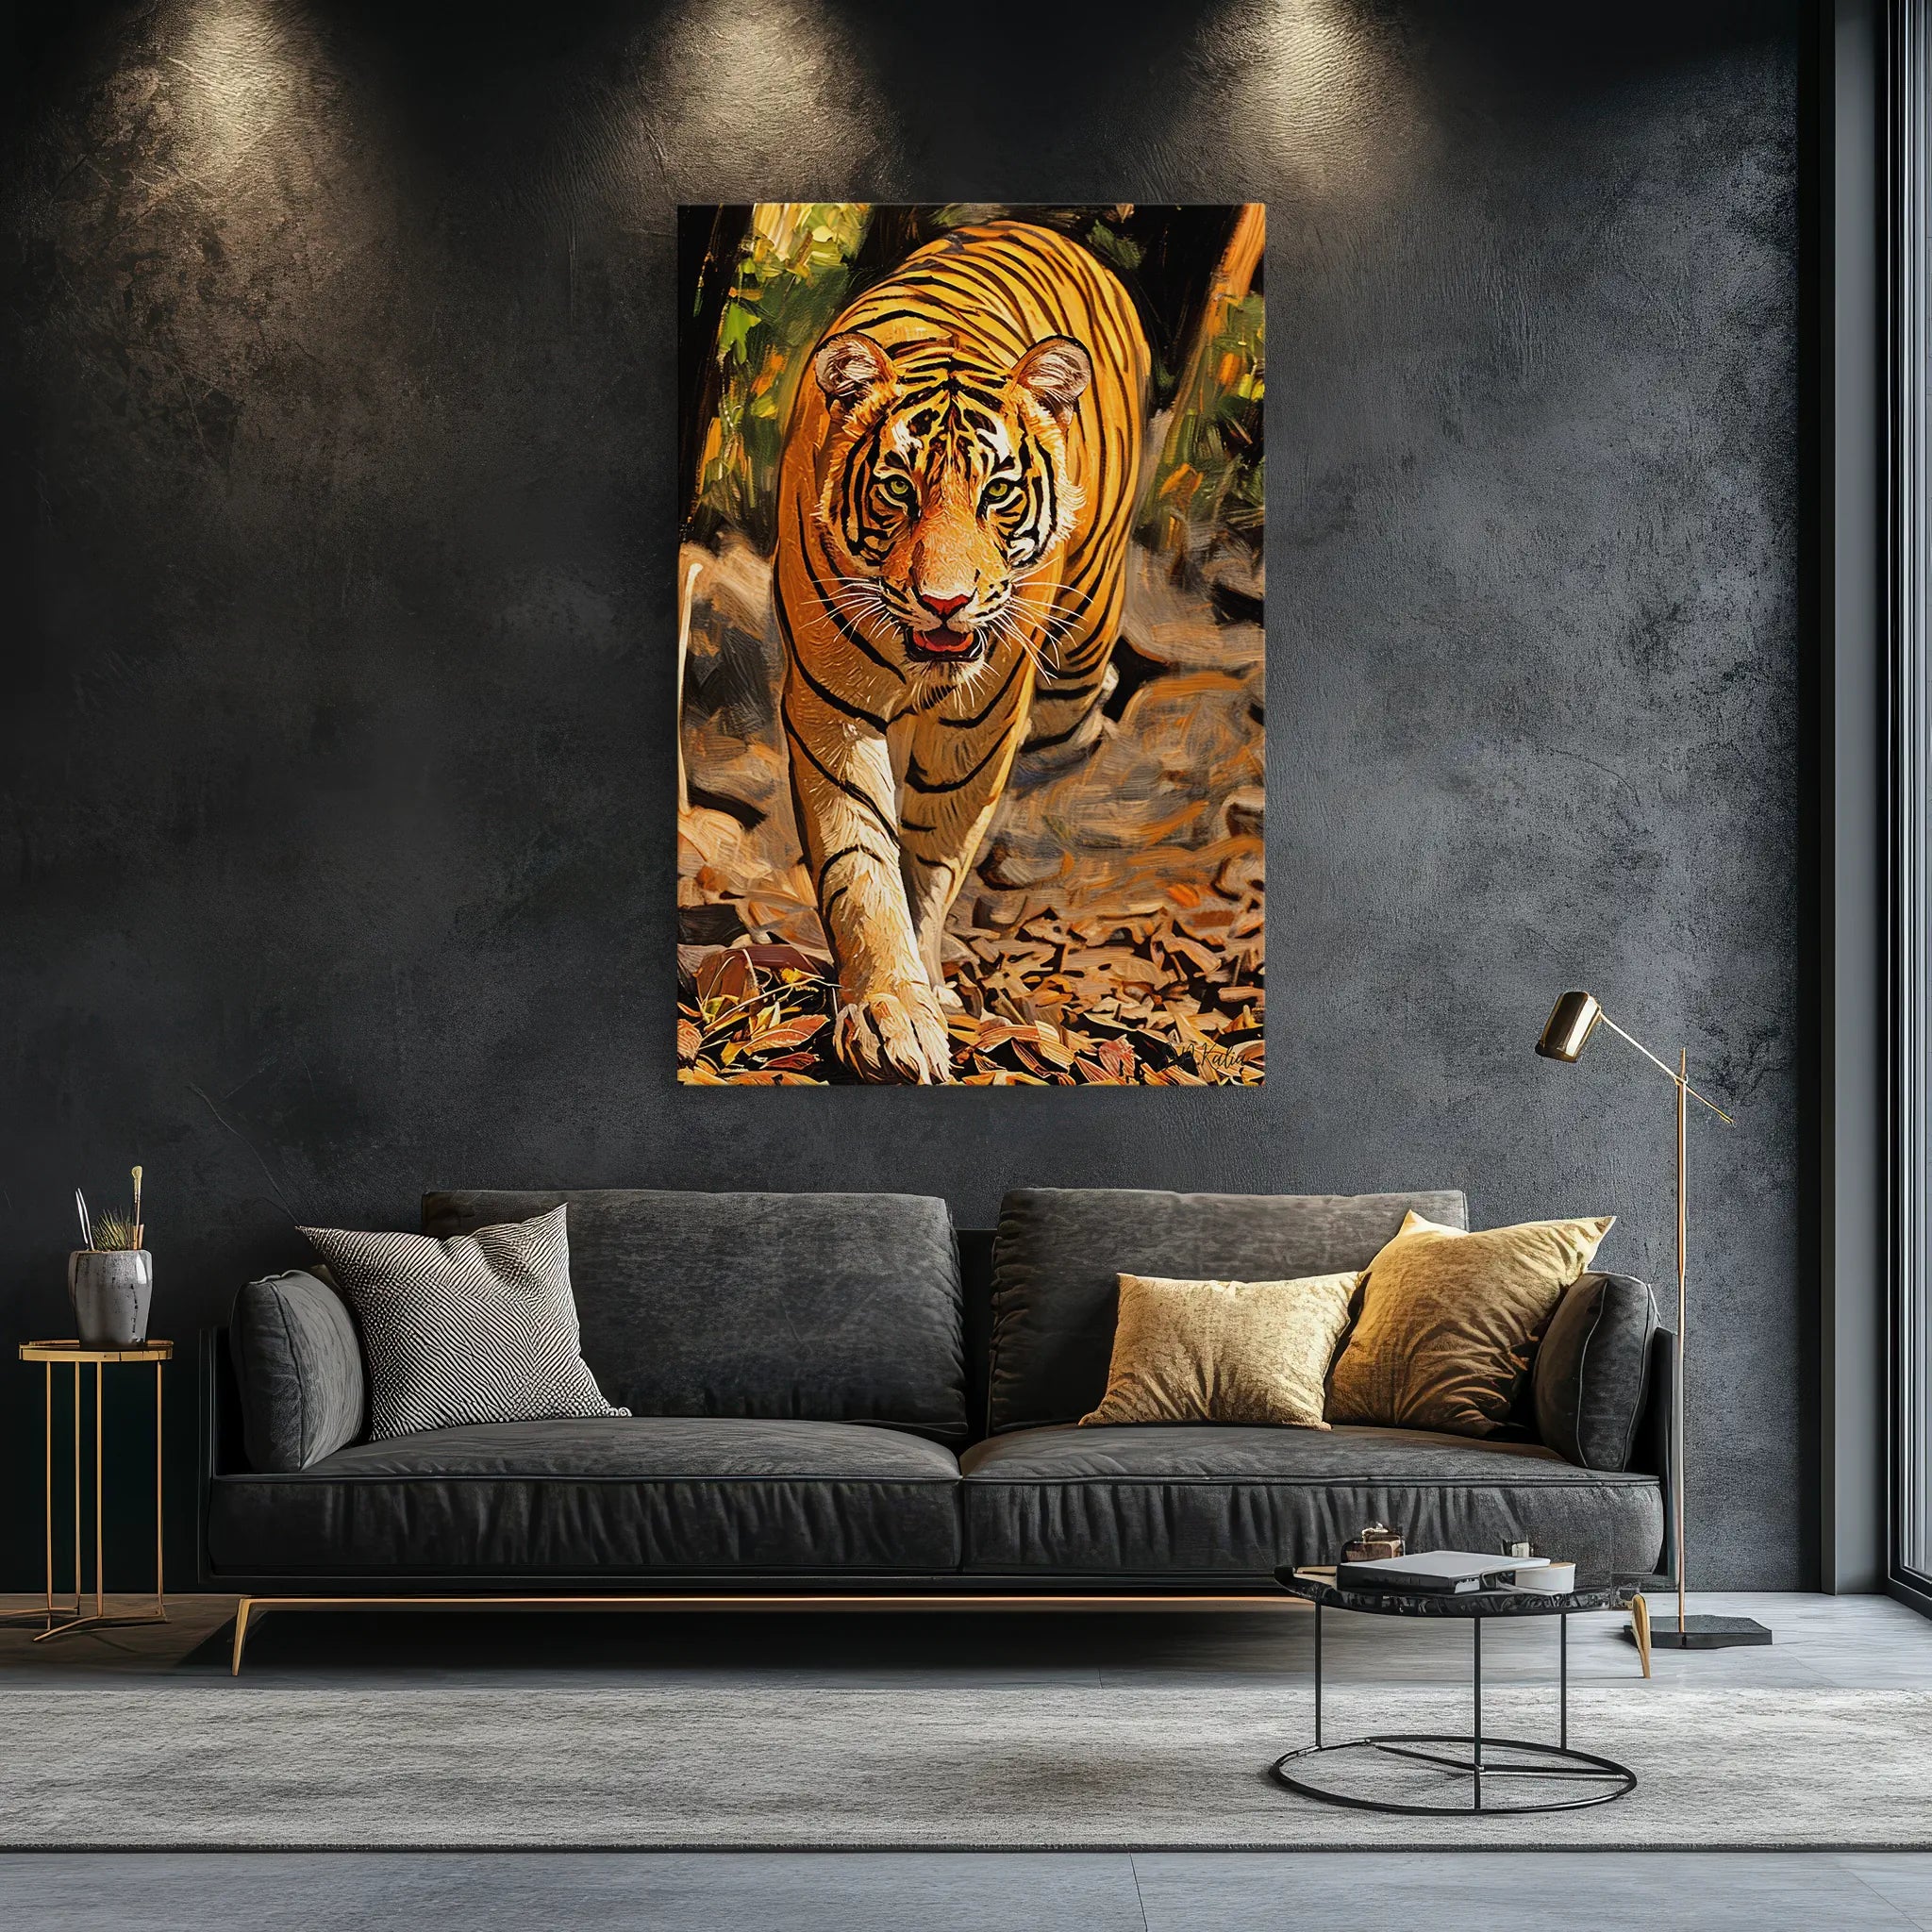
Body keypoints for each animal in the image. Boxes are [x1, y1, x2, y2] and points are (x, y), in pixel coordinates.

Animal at [774, 220, 1150, 1084]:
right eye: (898, 490)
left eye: (998, 492)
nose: (944, 601)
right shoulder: (830, 707)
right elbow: (860, 862)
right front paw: (890, 1010)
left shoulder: (981, 719)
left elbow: (931, 856)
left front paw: (923, 982)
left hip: (1081, 647)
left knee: (1083, 719)